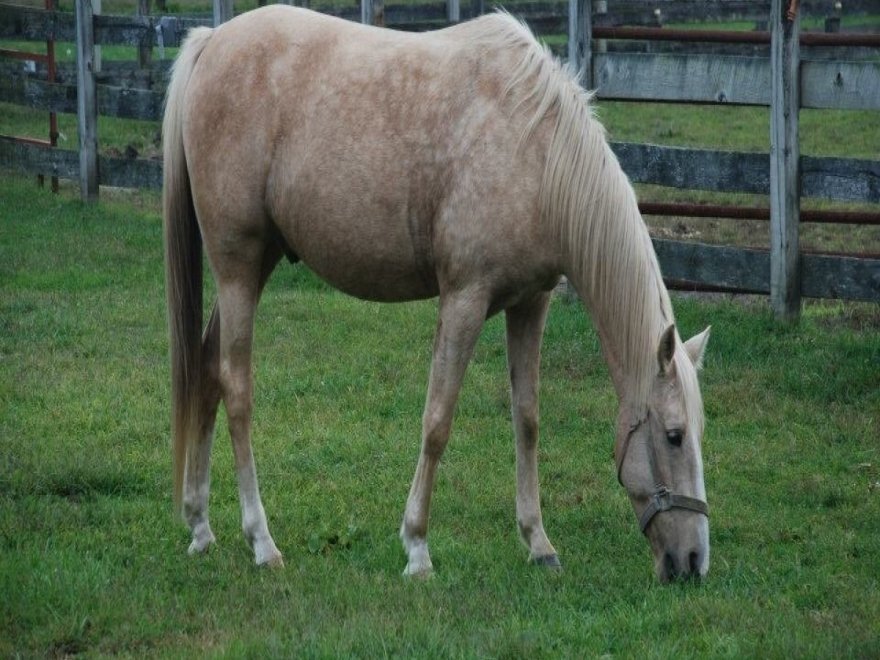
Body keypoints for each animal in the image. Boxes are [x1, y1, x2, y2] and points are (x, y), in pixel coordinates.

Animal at [165, 5, 712, 584]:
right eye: (674, 435)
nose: (693, 561)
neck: (535, 151)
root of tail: (212, 41)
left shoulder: (530, 304)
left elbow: (527, 420)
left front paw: (538, 542)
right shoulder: (464, 300)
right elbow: (437, 422)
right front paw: (417, 548)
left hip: (255, 265)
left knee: (206, 368)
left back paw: (200, 525)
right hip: (238, 268)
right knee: (236, 388)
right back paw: (261, 541)